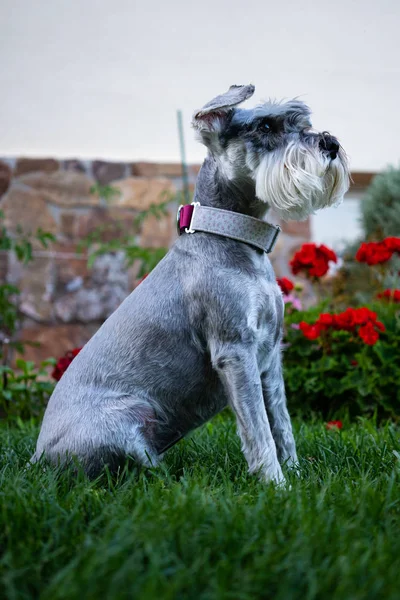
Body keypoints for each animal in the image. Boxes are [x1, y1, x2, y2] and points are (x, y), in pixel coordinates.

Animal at [31, 84, 350, 486]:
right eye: (264, 125)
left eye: (302, 122)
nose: (330, 143)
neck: (232, 238)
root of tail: (38, 457)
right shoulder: (236, 351)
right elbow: (259, 428)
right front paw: (276, 485)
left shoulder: (270, 357)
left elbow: (282, 424)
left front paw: (294, 474)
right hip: (126, 421)